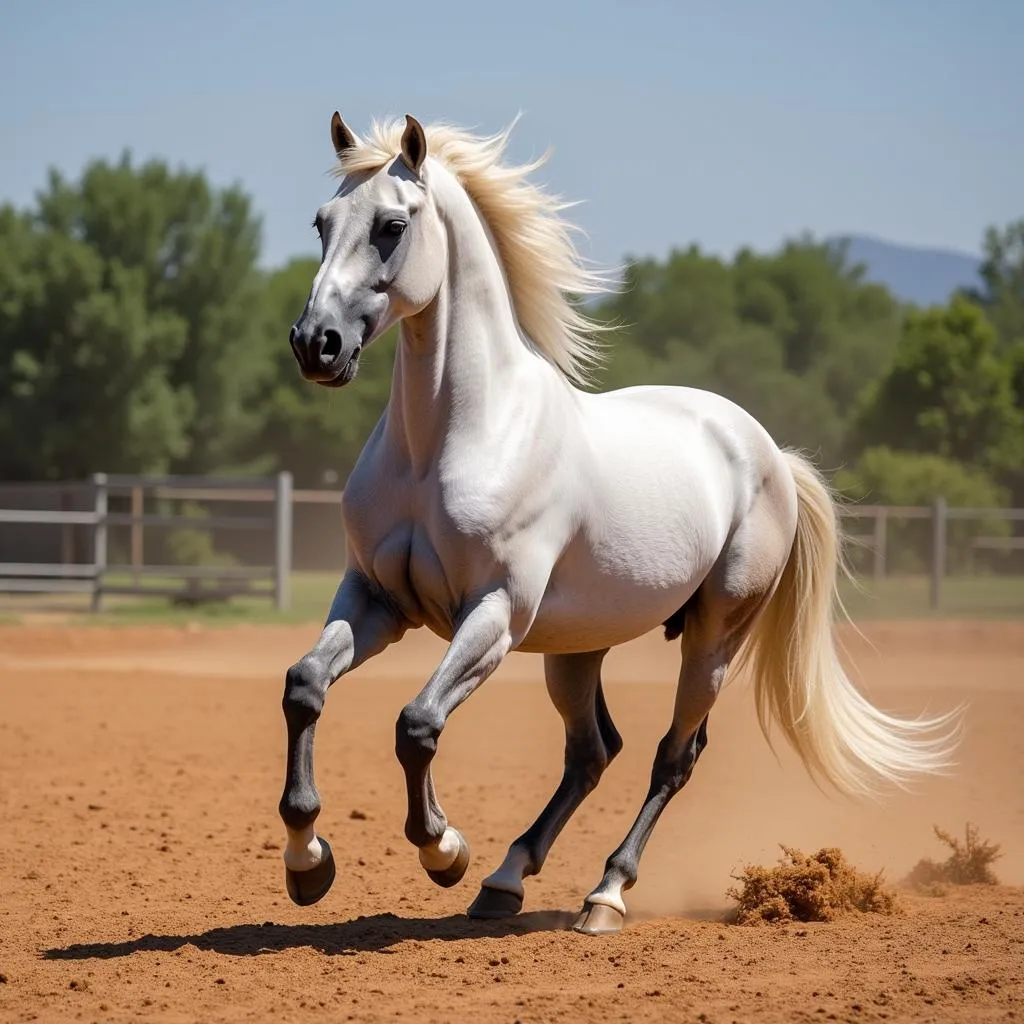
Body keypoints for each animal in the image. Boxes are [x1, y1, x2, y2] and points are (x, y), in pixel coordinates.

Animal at [278, 112, 958, 937]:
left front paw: (444, 850)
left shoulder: (494, 615)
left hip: (714, 636)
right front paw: (308, 862)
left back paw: (604, 895)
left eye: (391, 226)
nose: (316, 344)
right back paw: (505, 881)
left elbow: (417, 724)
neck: (451, 439)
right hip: (576, 650)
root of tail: (769, 453)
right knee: (594, 752)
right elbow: (305, 687)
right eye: (321, 223)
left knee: (673, 754)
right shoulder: (377, 600)